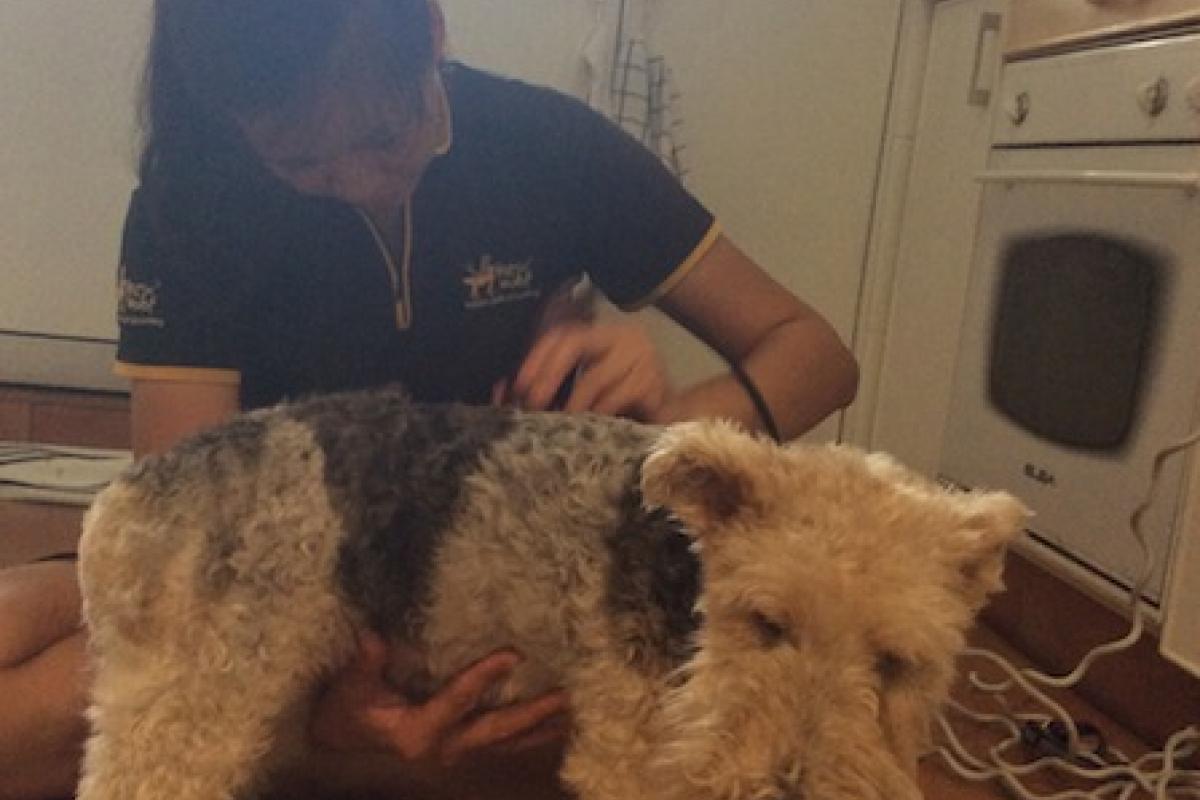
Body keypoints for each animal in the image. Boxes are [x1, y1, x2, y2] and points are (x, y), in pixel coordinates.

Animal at [75, 388, 1027, 800]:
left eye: (895, 663)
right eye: (766, 623)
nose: (789, 788)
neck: (688, 591)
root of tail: (128, 493)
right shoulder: (634, 759)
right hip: (194, 708)